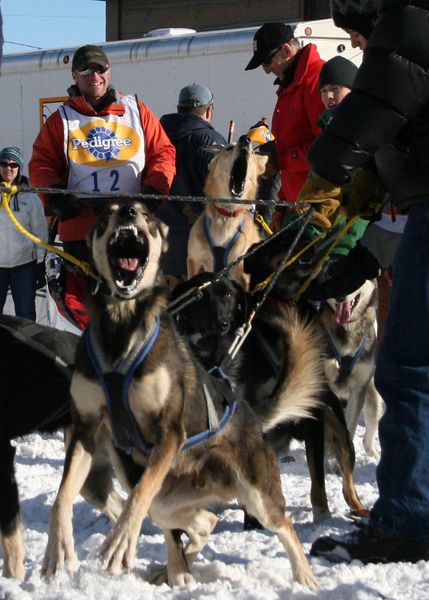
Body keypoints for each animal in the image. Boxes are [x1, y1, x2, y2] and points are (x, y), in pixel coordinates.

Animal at [186, 135, 266, 290]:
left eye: (253, 152)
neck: (226, 215)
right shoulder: (194, 260)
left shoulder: (244, 275)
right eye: (229, 148)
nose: (245, 139)